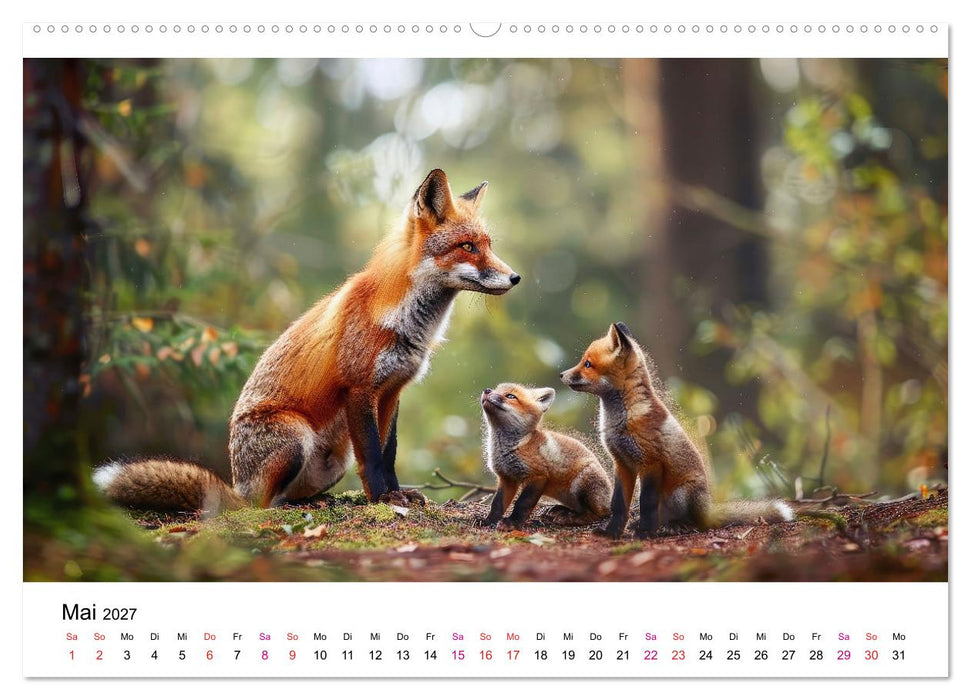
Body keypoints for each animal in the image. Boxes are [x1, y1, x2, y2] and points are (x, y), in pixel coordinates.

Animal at [94, 169, 520, 513]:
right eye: (467, 247)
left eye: (489, 245)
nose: (515, 277)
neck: (407, 322)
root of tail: (237, 486)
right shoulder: (359, 389)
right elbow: (373, 457)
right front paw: (382, 498)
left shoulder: (392, 391)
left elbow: (389, 452)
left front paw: (397, 493)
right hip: (295, 436)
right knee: (261, 505)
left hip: (336, 457)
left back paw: (318, 500)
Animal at [480, 382, 612, 531]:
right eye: (496, 389)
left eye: (510, 396)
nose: (487, 390)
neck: (514, 447)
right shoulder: (507, 478)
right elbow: (497, 504)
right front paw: (489, 521)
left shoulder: (538, 476)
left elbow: (522, 504)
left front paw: (512, 523)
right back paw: (560, 510)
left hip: (583, 480)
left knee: (596, 514)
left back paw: (570, 518)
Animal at [560, 322, 793, 539]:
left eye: (587, 364)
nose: (561, 374)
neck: (621, 420)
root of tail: (707, 510)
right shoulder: (622, 463)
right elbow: (618, 505)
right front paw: (612, 532)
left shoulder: (651, 463)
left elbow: (646, 503)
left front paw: (645, 533)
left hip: (680, 493)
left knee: (692, 522)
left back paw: (674, 526)